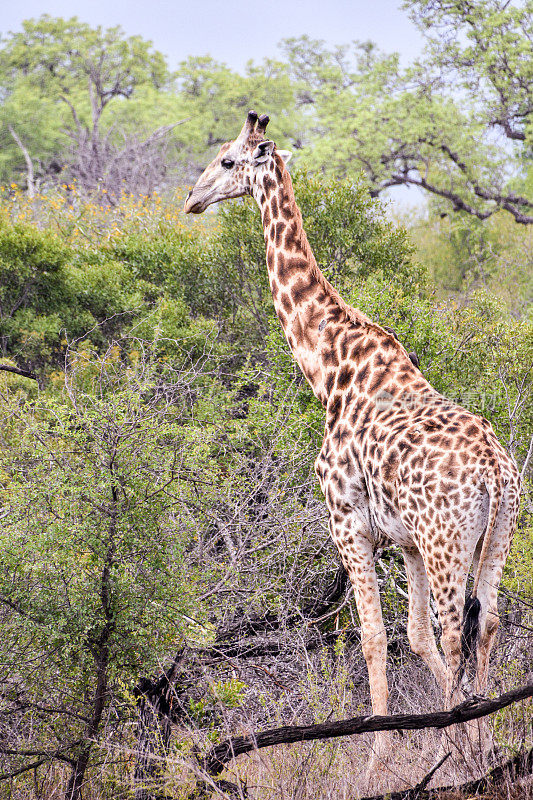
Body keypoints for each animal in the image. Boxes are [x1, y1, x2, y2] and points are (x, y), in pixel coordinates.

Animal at [183, 112, 520, 768]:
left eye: (228, 161)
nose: (192, 199)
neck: (327, 367)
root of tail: (496, 470)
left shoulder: (348, 522)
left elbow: (373, 637)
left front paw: (378, 751)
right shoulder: (406, 542)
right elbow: (412, 636)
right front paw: (452, 737)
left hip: (448, 542)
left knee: (455, 627)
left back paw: (462, 740)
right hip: (498, 535)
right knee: (487, 621)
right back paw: (482, 736)